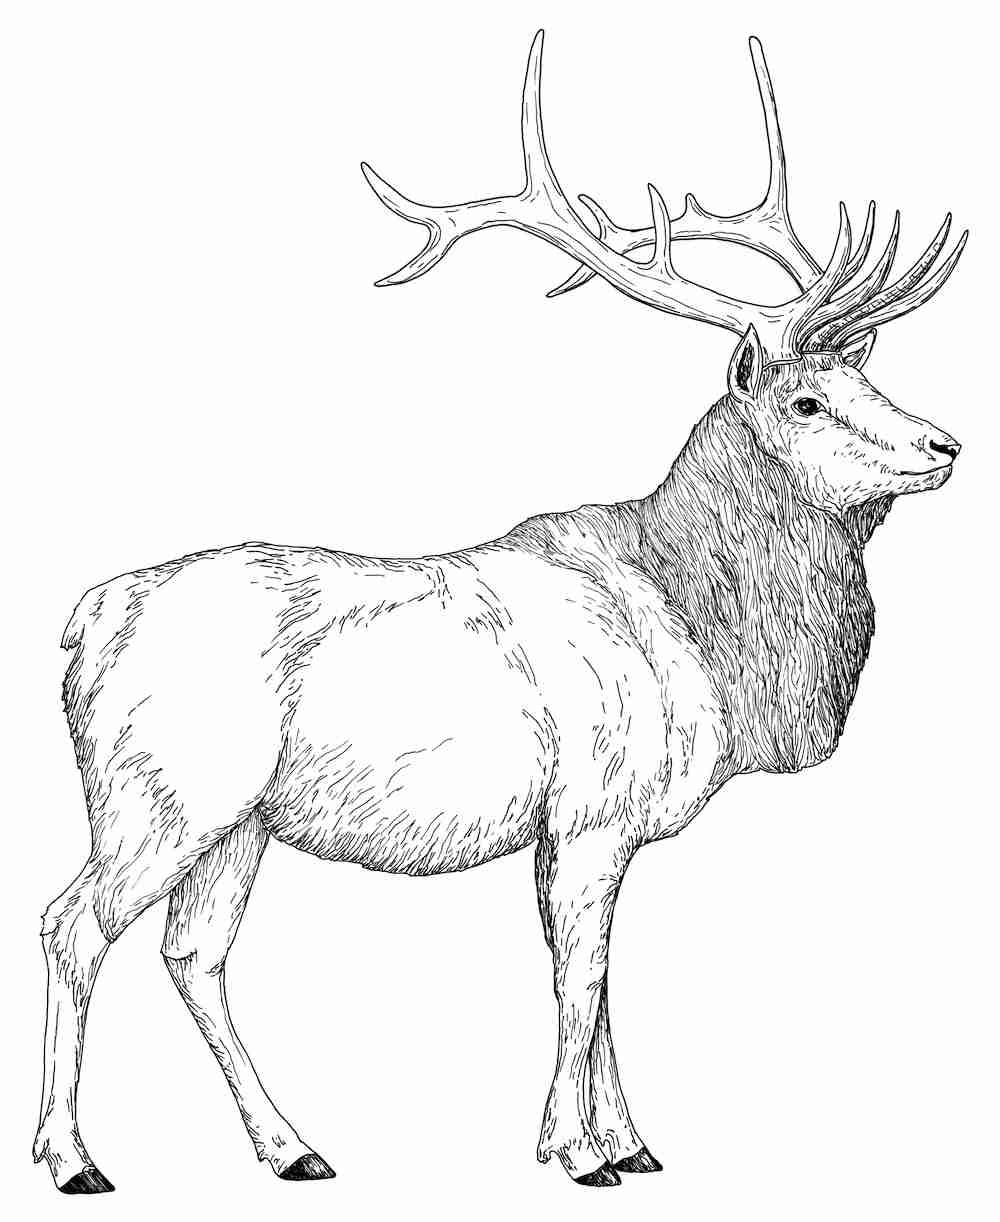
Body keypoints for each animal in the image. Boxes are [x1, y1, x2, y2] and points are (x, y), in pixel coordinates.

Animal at [34, 30, 966, 1195]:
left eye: (871, 380)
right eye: (805, 399)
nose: (944, 443)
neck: (709, 645)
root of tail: (86, 620)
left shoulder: (584, 827)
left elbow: (597, 981)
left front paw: (633, 1142)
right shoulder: (595, 807)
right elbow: (582, 977)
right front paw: (576, 1151)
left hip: (235, 819)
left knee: (192, 953)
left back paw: (293, 1147)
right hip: (158, 791)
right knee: (71, 925)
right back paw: (73, 1158)